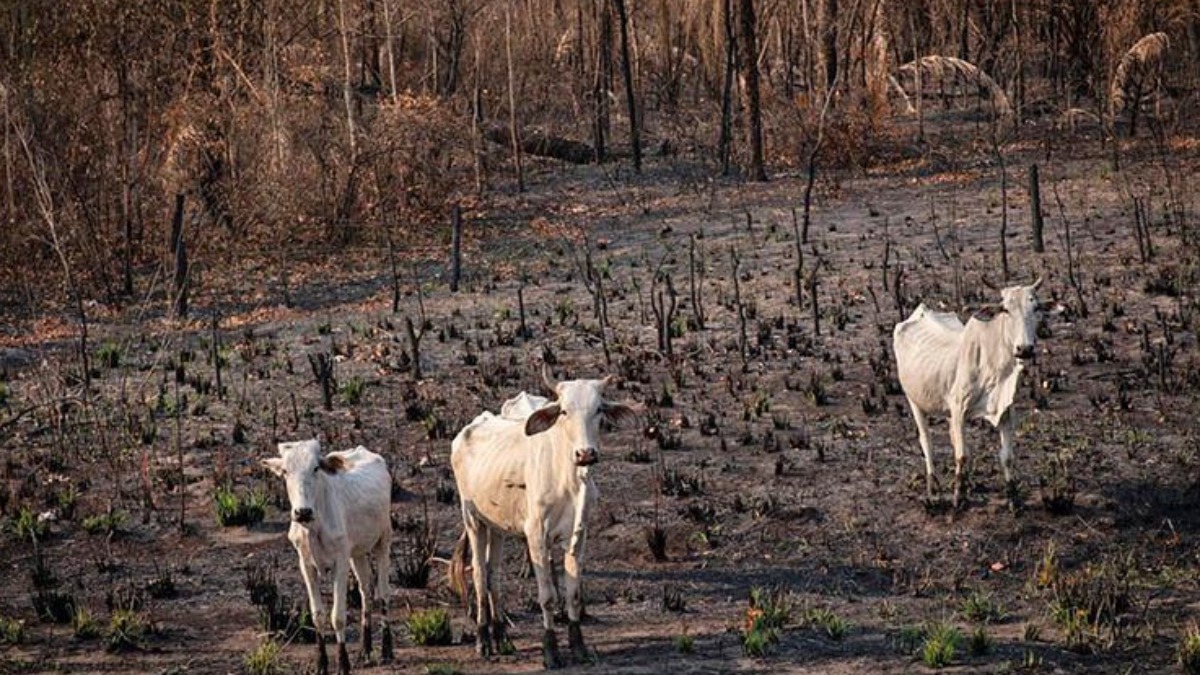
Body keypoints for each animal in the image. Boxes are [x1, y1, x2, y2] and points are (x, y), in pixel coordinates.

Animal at [262, 439, 393, 667]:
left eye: (316, 468)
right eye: (285, 471)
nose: (303, 512)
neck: (314, 527)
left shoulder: (340, 563)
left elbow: (338, 617)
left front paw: (343, 664)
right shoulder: (306, 565)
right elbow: (318, 616)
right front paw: (321, 663)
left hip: (383, 540)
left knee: (383, 592)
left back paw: (387, 649)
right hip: (356, 553)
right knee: (365, 590)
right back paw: (366, 649)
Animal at [451, 367, 638, 667]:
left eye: (598, 409)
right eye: (563, 411)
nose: (586, 454)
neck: (569, 481)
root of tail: (471, 427)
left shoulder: (578, 535)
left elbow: (573, 594)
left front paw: (578, 647)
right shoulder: (536, 535)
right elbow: (548, 597)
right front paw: (550, 651)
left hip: (497, 526)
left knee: (494, 574)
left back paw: (502, 637)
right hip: (473, 519)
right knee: (479, 574)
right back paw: (483, 640)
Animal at [892, 277, 1051, 504]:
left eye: (1036, 307)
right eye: (1005, 309)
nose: (1025, 349)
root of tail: (920, 311)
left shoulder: (1005, 410)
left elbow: (1007, 456)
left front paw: (1013, 497)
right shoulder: (958, 408)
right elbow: (962, 455)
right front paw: (958, 497)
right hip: (914, 400)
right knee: (926, 441)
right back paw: (933, 487)